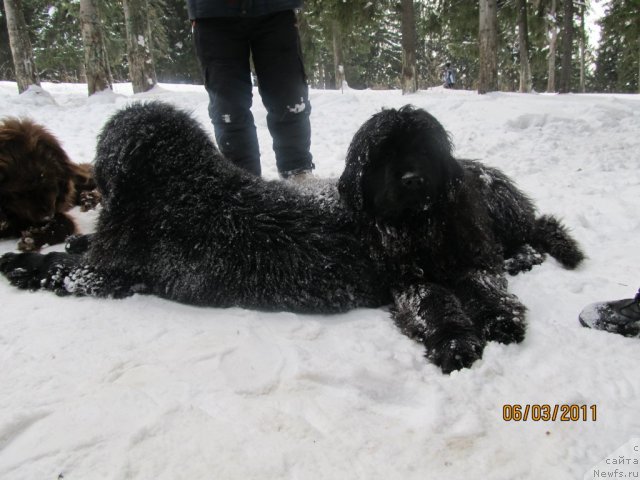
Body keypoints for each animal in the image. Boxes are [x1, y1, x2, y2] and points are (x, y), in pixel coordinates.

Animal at [0, 118, 99, 251]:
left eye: (51, 186)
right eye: (24, 191)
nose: (47, 217)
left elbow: (66, 225)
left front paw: (32, 238)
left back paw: (89, 200)